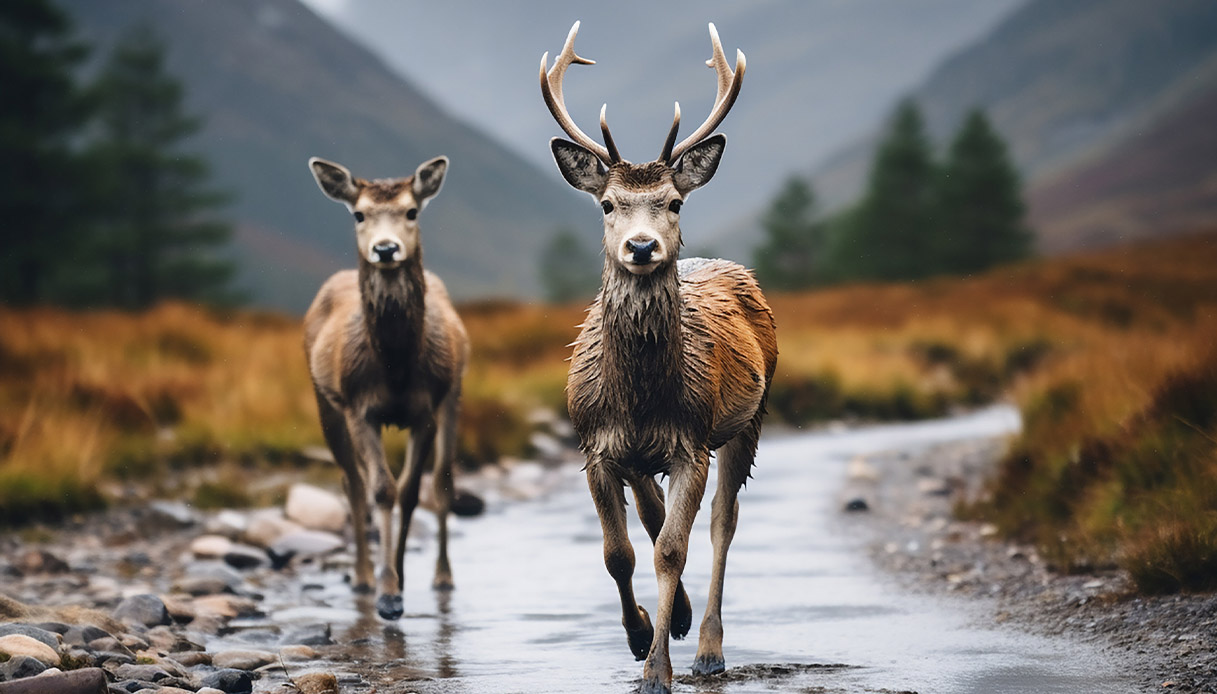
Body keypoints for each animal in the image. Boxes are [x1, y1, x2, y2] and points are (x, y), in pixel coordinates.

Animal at [304, 154, 469, 618]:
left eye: (411, 211)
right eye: (359, 214)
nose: (385, 249)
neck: (395, 367)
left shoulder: (426, 409)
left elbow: (412, 491)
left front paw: (398, 578)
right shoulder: (359, 407)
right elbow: (382, 490)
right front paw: (388, 591)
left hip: (454, 396)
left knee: (443, 483)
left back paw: (442, 577)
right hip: (325, 403)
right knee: (352, 484)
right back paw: (362, 578)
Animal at [542, 21, 778, 691]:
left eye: (674, 202)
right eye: (607, 204)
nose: (642, 246)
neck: (641, 397)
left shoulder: (690, 441)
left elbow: (672, 549)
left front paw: (656, 669)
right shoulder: (595, 446)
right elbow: (617, 552)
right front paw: (640, 632)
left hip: (749, 418)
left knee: (722, 524)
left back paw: (707, 646)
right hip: (645, 454)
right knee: (650, 516)